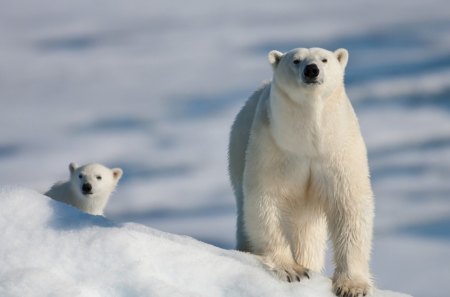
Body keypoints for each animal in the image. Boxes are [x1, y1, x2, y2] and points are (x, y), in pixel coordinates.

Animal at [230, 47, 374, 294]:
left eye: (324, 59)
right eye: (296, 60)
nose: (312, 70)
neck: (308, 141)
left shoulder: (338, 149)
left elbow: (349, 205)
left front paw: (352, 286)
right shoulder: (274, 146)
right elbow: (266, 200)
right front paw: (292, 270)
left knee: (308, 232)